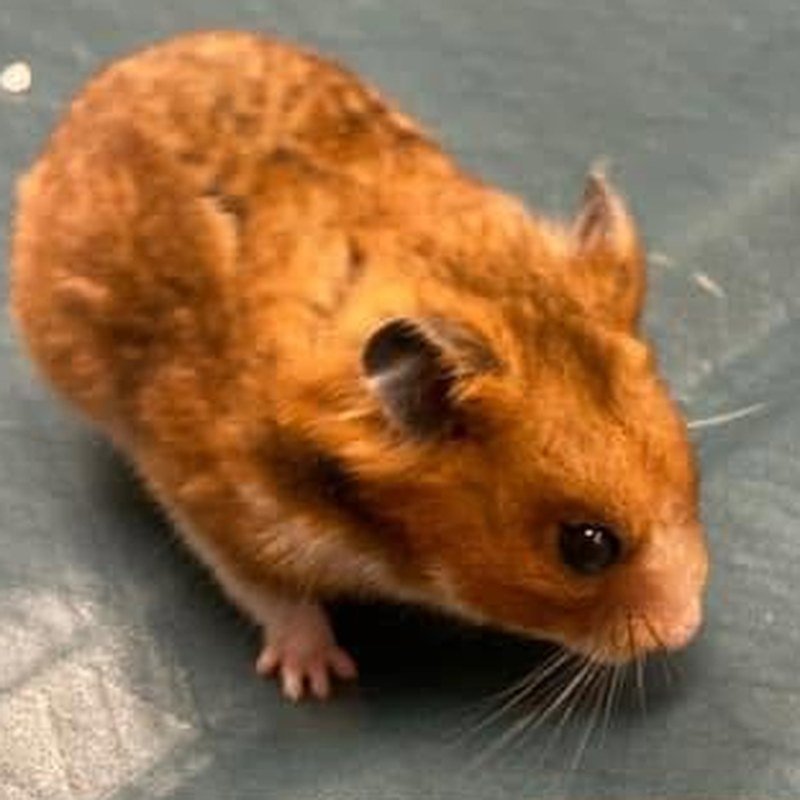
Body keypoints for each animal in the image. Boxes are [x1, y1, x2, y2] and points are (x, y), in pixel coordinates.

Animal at [10, 31, 708, 701]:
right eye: (586, 546)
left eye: (691, 469)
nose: (686, 628)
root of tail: (91, 100)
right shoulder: (215, 504)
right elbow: (271, 594)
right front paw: (319, 681)